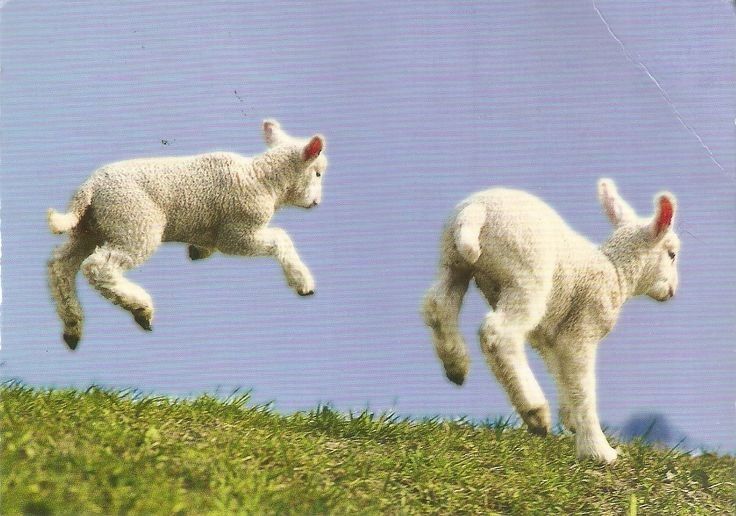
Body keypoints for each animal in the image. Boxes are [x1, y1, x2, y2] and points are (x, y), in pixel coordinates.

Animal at [47, 120, 327, 350]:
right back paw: (141, 309)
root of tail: (90, 186)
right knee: (98, 267)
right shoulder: (238, 232)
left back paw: (72, 327)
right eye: (317, 173)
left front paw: (198, 250)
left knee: (61, 265)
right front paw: (303, 282)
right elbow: (280, 237)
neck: (261, 179)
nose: (317, 203)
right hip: (135, 226)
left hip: (90, 228)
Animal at [422, 179, 679, 464]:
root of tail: (477, 210)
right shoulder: (580, 330)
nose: (672, 291)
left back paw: (455, 364)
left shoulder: (549, 337)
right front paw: (598, 450)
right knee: (497, 333)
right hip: (526, 275)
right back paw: (534, 412)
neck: (615, 271)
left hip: (455, 262)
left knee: (438, 305)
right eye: (672, 254)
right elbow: (582, 389)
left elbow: (560, 375)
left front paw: (571, 420)